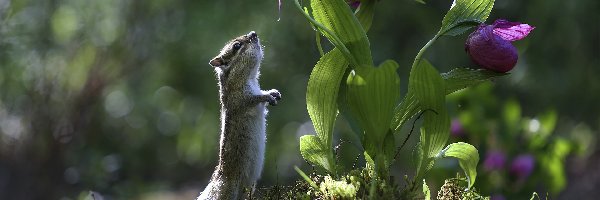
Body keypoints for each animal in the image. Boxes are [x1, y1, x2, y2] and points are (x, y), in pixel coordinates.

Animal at [198, 30, 280, 198]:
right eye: (236, 46)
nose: (253, 33)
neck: (249, 78)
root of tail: (219, 178)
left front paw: (273, 93)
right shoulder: (242, 99)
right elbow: (255, 99)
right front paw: (267, 97)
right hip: (230, 190)